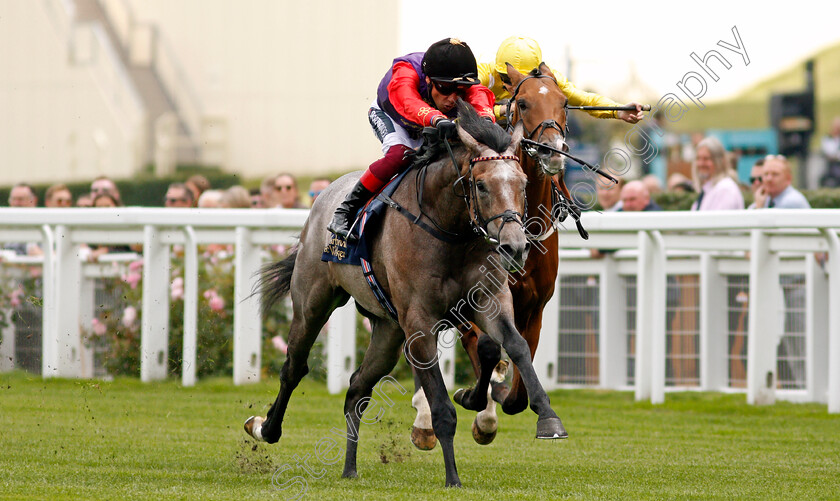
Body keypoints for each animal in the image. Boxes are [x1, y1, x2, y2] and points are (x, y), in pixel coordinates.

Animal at [246, 99, 568, 486]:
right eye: (481, 185)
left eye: (522, 184)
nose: (515, 247)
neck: (451, 229)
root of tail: (324, 196)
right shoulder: (419, 324)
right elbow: (442, 406)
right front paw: (452, 478)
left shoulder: (490, 300)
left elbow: (515, 346)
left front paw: (547, 417)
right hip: (313, 303)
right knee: (294, 367)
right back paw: (266, 428)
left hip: (387, 330)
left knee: (357, 387)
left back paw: (350, 468)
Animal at [412, 63, 580, 450]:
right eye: (523, 102)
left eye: (564, 102)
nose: (552, 151)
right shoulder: (472, 300)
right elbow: (485, 346)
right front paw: (478, 401)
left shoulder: (535, 307)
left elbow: (519, 382)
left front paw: (507, 396)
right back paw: (426, 420)